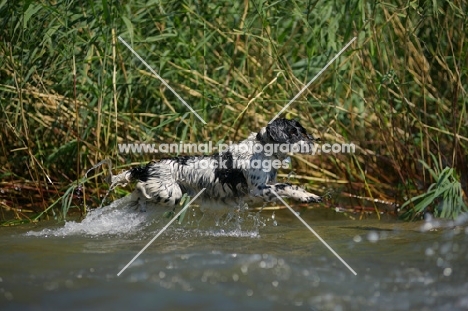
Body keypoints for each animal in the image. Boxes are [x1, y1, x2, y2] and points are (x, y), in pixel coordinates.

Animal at [111, 118, 320, 213]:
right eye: (295, 132)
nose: (314, 141)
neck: (262, 149)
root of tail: (146, 167)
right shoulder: (257, 190)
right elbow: (288, 185)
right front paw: (308, 196)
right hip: (170, 193)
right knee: (139, 189)